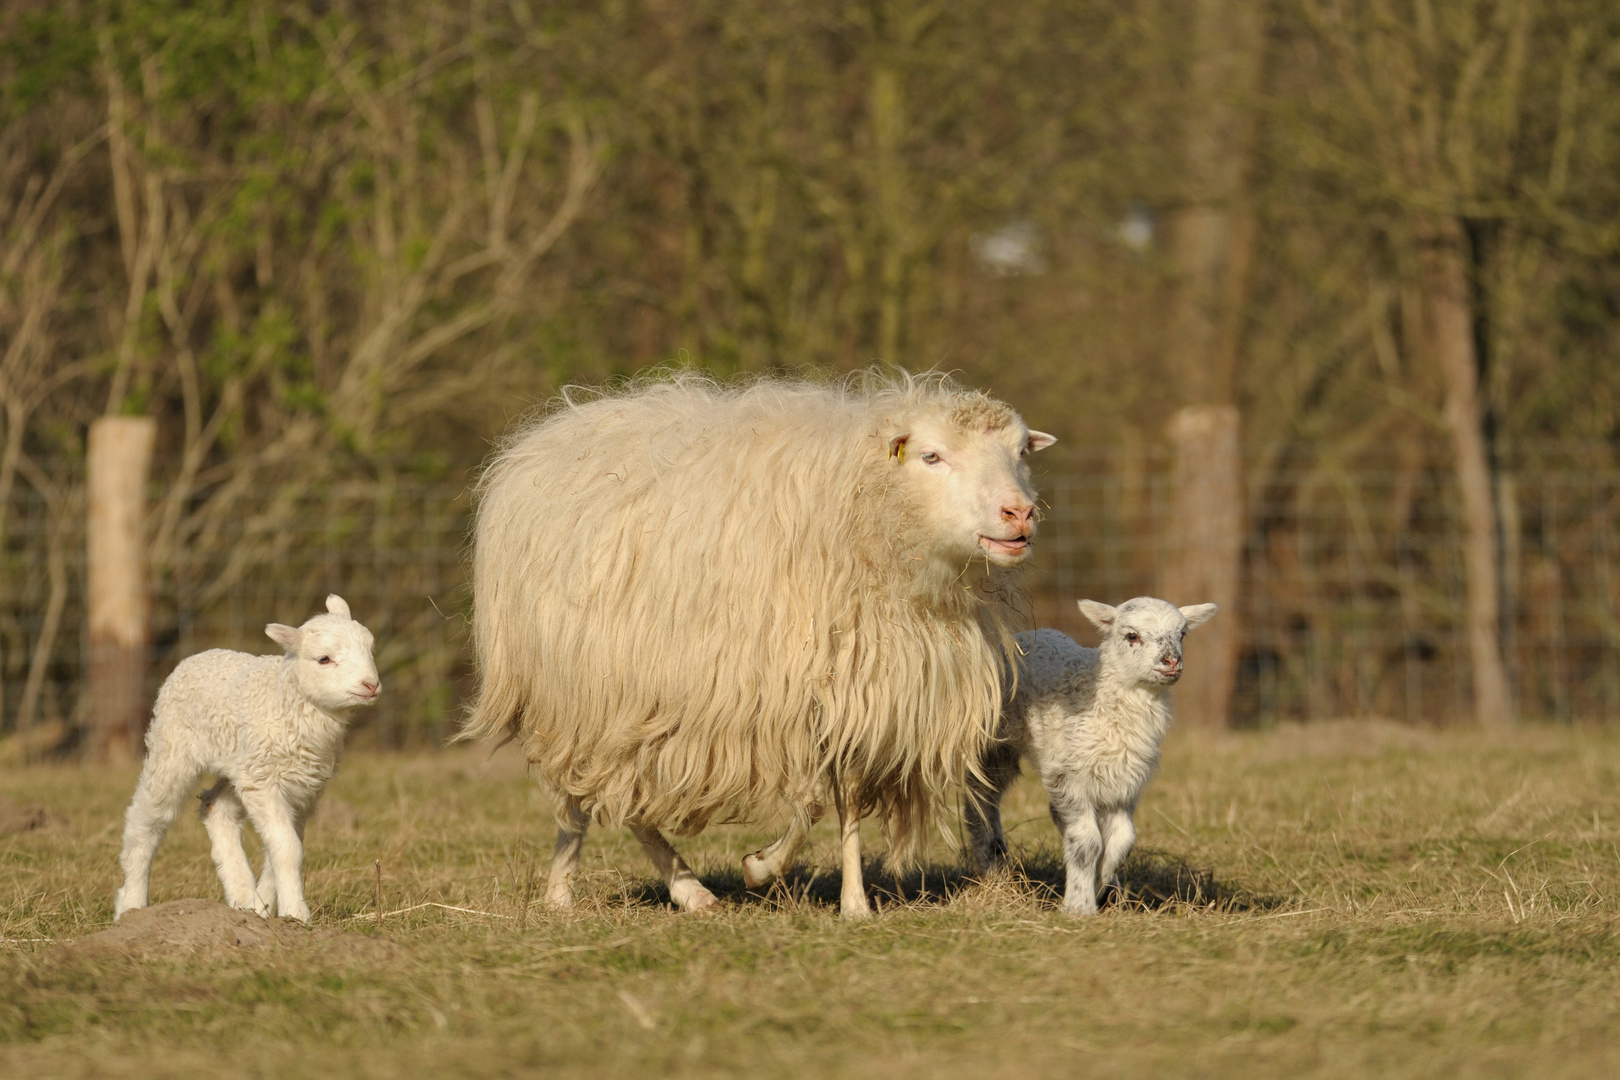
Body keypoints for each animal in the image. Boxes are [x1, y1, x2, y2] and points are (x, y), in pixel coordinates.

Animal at [114, 595, 379, 926]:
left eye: (370, 650)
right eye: (324, 659)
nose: (371, 685)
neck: (286, 701)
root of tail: (200, 655)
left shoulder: (303, 788)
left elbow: (284, 847)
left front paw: (263, 908)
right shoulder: (265, 783)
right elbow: (287, 848)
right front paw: (296, 914)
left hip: (240, 764)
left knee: (215, 806)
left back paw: (242, 898)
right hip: (173, 747)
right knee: (146, 819)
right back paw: (131, 904)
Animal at [463, 374, 1056, 919]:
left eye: (1021, 453)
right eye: (932, 456)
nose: (1020, 513)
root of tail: (557, 428)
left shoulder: (863, 685)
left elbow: (847, 801)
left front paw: (855, 905)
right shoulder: (783, 694)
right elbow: (811, 804)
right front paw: (761, 867)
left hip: (627, 700)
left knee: (618, 798)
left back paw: (682, 890)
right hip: (579, 692)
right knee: (581, 799)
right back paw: (581, 891)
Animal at [959, 595, 1218, 919]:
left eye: (1182, 634)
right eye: (1131, 636)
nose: (1171, 661)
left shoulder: (1121, 781)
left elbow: (1122, 840)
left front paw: (1102, 883)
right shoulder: (1067, 774)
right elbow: (1087, 841)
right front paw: (1079, 905)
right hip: (993, 745)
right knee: (981, 798)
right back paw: (994, 867)